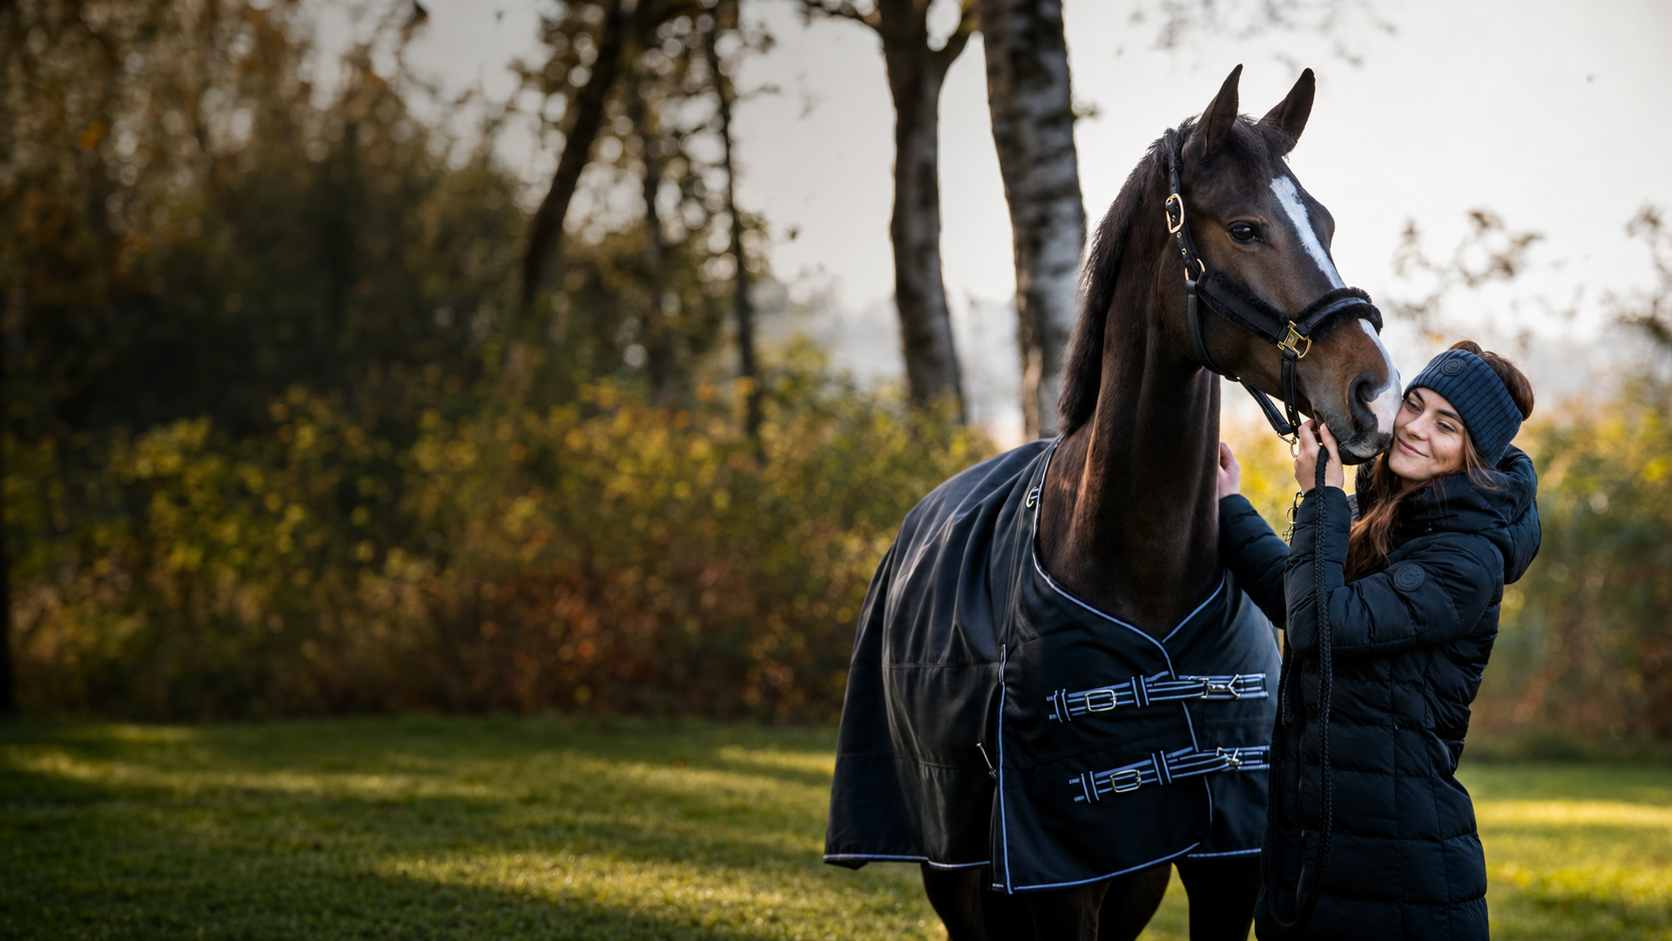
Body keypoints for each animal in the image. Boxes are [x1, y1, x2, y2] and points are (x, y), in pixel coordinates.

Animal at [824, 65, 1400, 940]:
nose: (1377, 390)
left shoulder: (1223, 868)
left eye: (1325, 222)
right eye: (1245, 228)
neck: (1138, 564)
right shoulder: (1061, 875)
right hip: (955, 875)